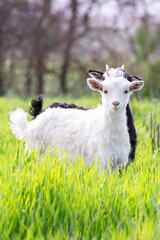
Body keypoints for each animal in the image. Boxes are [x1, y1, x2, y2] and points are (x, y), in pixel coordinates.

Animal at [9, 65, 144, 171]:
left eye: (126, 90)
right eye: (104, 89)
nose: (115, 103)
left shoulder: (119, 163)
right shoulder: (101, 161)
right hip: (36, 151)